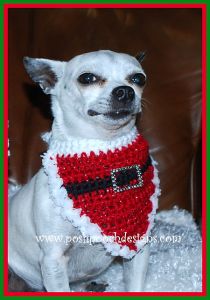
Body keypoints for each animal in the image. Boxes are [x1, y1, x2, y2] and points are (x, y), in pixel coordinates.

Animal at [8, 50, 159, 292]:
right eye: (87, 78)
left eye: (138, 79)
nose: (125, 90)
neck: (103, 146)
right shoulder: (53, 260)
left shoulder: (138, 247)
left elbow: (135, 284)